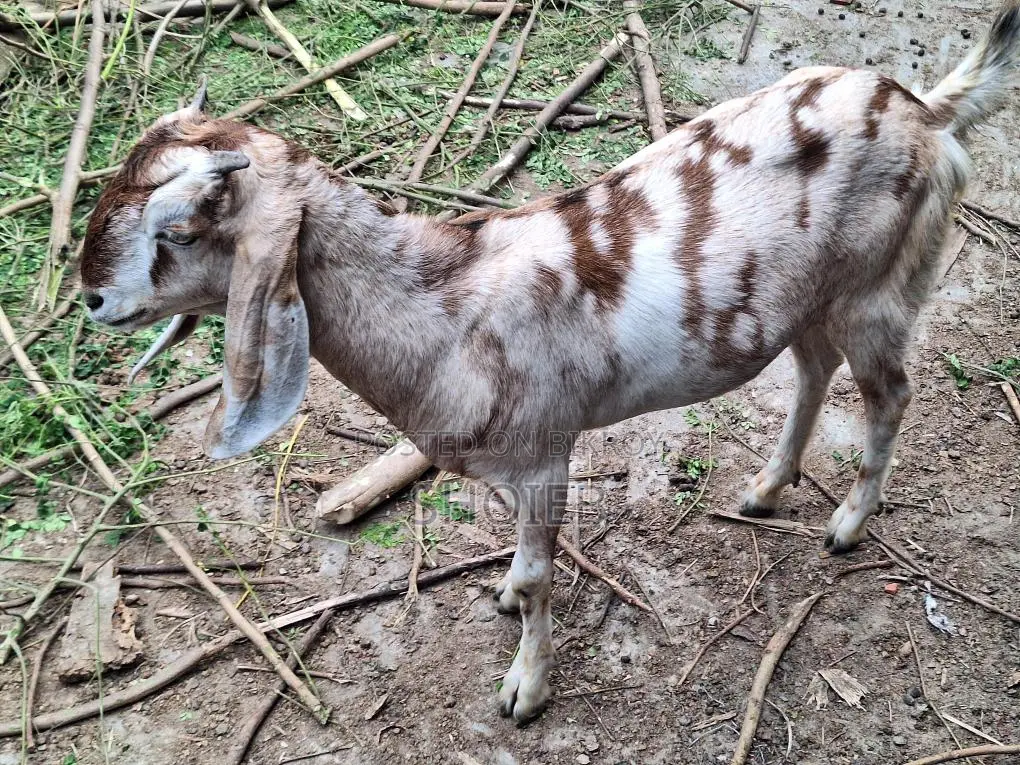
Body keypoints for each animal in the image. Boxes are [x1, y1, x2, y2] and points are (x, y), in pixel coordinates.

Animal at [80, 5, 1020, 722]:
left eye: (180, 228)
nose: (89, 297)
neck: (446, 312)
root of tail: (929, 112)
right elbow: (519, 565)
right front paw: (501, 600)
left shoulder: (542, 450)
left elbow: (539, 578)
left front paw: (524, 690)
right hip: (812, 298)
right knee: (814, 370)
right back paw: (765, 486)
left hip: (878, 288)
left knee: (890, 392)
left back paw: (847, 523)